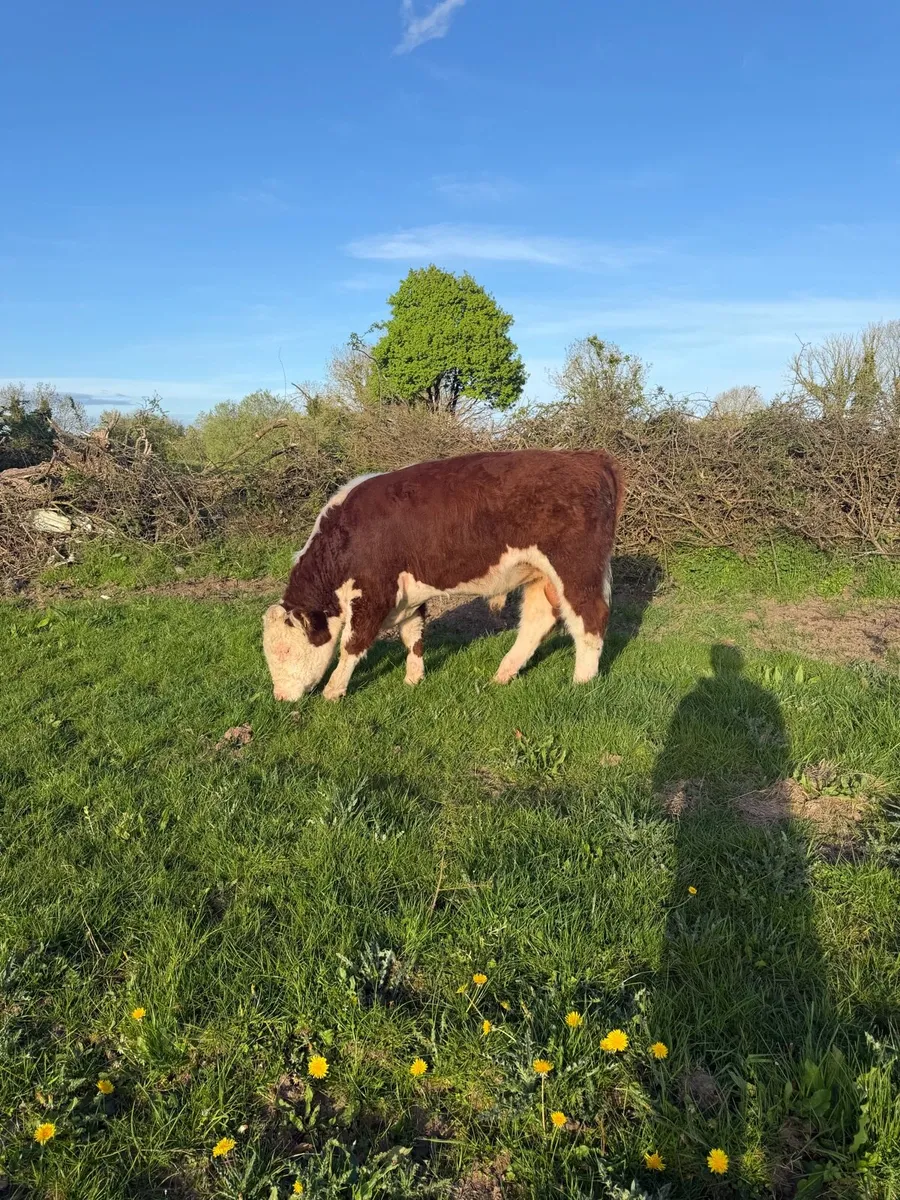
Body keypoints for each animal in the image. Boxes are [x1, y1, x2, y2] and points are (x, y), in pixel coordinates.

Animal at [263, 448, 625, 702]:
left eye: (284, 651)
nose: (280, 698)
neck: (348, 532)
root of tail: (588, 458)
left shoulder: (373, 593)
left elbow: (352, 644)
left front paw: (333, 691)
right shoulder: (407, 595)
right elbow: (413, 634)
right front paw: (413, 678)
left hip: (576, 568)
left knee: (590, 619)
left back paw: (581, 681)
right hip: (540, 575)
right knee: (538, 621)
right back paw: (503, 674)